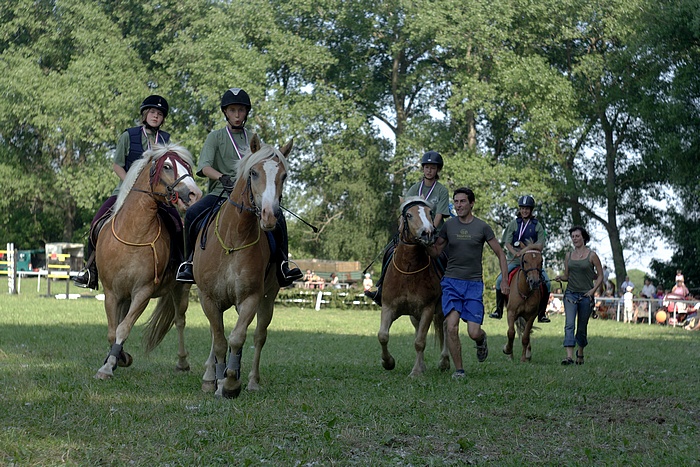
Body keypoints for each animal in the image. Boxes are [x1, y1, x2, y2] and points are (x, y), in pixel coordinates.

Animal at [94, 144, 202, 382]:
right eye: (168, 166)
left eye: (188, 166)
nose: (194, 194)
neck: (134, 233)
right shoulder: (111, 292)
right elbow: (112, 331)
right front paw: (114, 360)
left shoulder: (142, 292)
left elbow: (123, 328)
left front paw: (112, 363)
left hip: (179, 289)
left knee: (179, 320)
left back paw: (182, 363)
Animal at [193, 134, 292, 398]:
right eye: (254, 173)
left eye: (283, 176)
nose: (270, 216)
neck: (233, 239)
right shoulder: (208, 299)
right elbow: (218, 340)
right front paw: (217, 380)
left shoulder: (250, 298)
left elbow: (237, 338)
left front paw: (230, 382)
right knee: (215, 335)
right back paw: (211, 376)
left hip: (268, 297)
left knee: (258, 336)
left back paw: (251, 380)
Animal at [378, 196, 448, 378]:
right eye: (408, 215)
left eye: (430, 212)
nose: (427, 233)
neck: (409, 269)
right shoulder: (388, 307)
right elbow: (383, 335)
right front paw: (388, 362)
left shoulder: (428, 309)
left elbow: (420, 342)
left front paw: (416, 372)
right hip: (414, 315)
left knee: (445, 327)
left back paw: (444, 361)